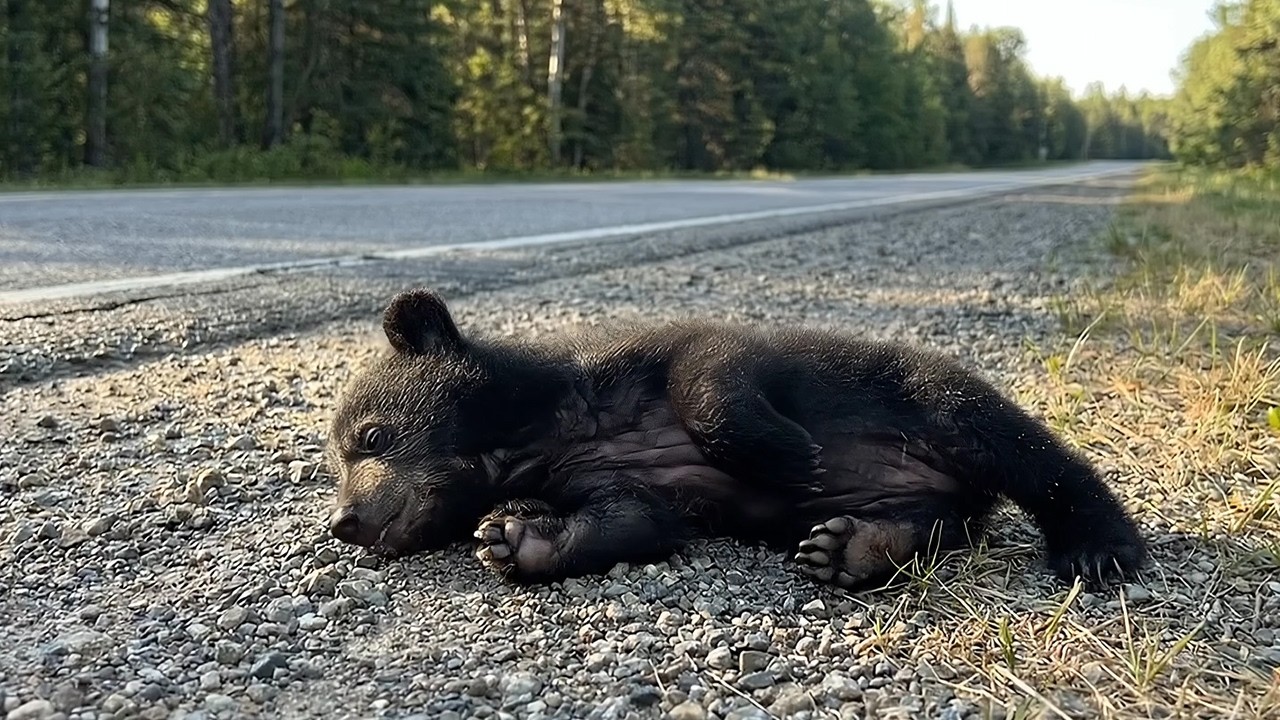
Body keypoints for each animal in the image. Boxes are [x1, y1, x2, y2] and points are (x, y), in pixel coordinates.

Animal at [323, 287, 1146, 592]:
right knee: (935, 525)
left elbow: (714, 372)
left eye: (371, 434)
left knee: (1025, 451)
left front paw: (791, 452)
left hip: (926, 395)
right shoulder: (604, 475)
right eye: (335, 462)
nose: (344, 520)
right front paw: (515, 537)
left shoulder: (643, 359)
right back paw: (850, 547)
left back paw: (1099, 546)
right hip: (933, 500)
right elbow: (633, 519)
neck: (547, 433)